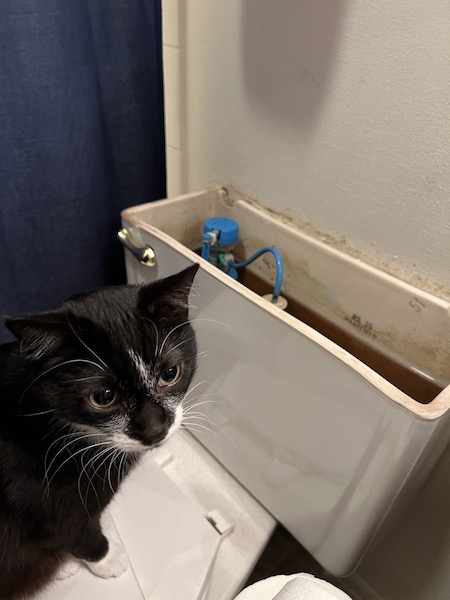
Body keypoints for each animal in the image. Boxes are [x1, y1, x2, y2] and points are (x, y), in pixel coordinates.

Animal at [0, 264, 199, 596]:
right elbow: (75, 531)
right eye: (103, 397)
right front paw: (108, 560)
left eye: (170, 373)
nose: (155, 429)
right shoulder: (43, 504)